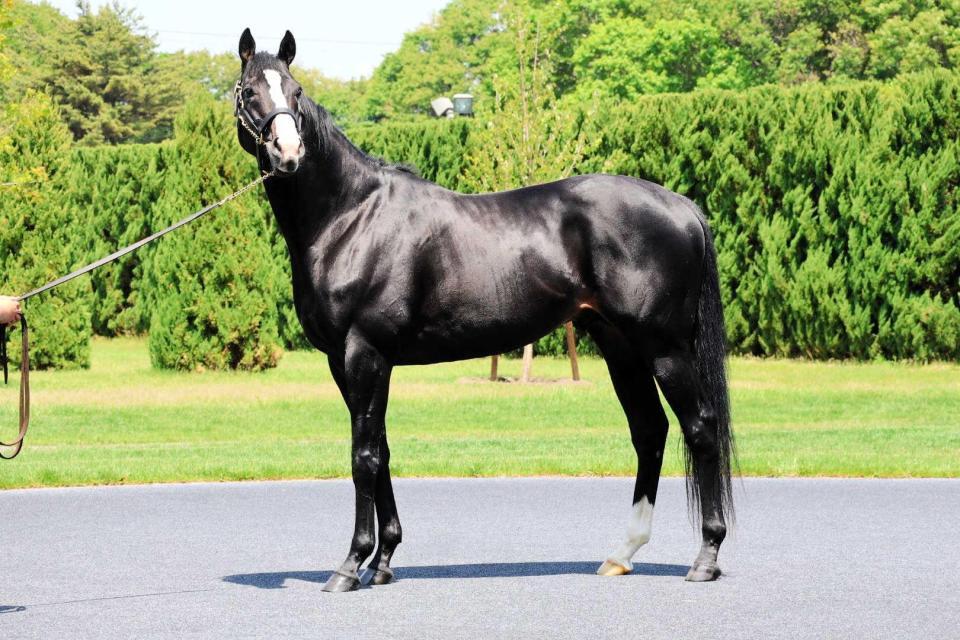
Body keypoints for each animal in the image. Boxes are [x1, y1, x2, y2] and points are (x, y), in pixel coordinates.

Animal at [235, 28, 735, 592]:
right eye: (249, 91)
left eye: (296, 92)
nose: (289, 151)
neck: (350, 216)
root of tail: (682, 207)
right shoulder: (345, 363)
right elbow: (381, 450)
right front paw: (383, 561)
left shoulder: (364, 354)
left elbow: (363, 457)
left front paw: (350, 565)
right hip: (619, 345)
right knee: (650, 431)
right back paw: (621, 553)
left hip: (664, 348)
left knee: (701, 428)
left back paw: (706, 558)